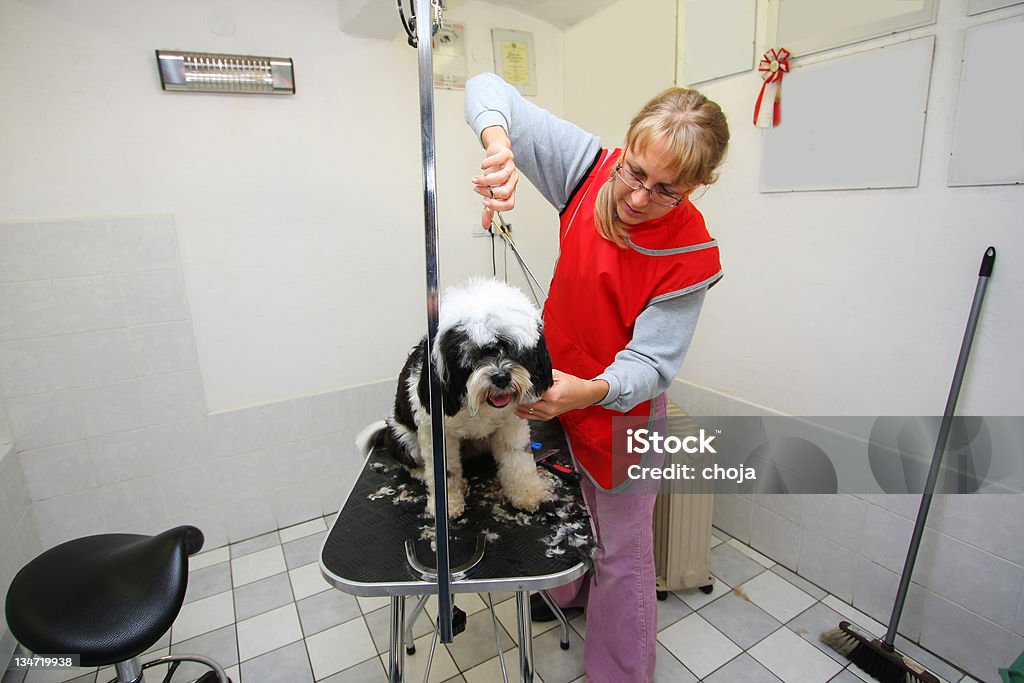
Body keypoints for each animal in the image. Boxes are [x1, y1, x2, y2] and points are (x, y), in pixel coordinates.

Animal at [358, 278, 552, 518]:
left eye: (514, 350)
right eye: (471, 355)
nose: (501, 377)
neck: (476, 405)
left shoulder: (510, 424)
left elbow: (518, 460)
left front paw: (527, 493)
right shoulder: (435, 433)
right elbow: (445, 472)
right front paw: (448, 504)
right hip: (405, 439)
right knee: (411, 462)